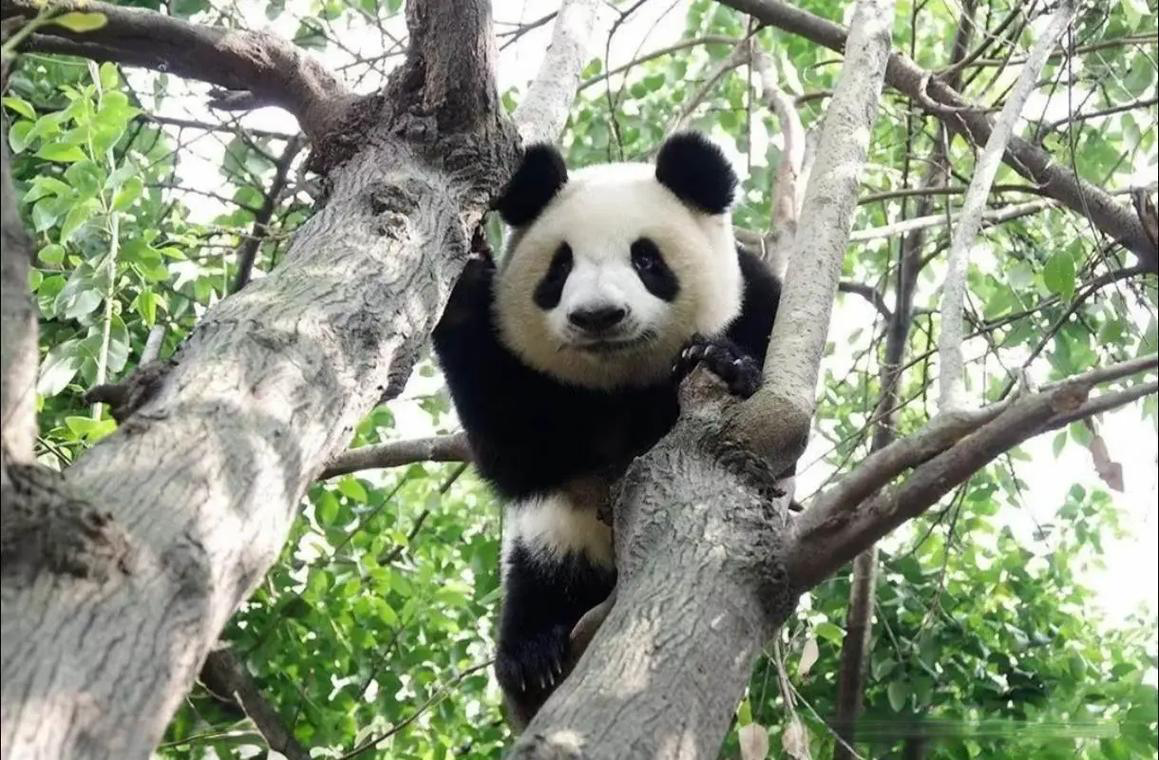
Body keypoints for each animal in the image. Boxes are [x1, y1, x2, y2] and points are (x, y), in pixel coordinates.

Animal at [431, 132, 781, 728]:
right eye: (559, 268)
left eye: (646, 259)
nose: (598, 316)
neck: (620, 384)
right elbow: (514, 454)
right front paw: (462, 283)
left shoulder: (756, 303)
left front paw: (724, 361)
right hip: (558, 540)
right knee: (539, 581)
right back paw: (531, 657)